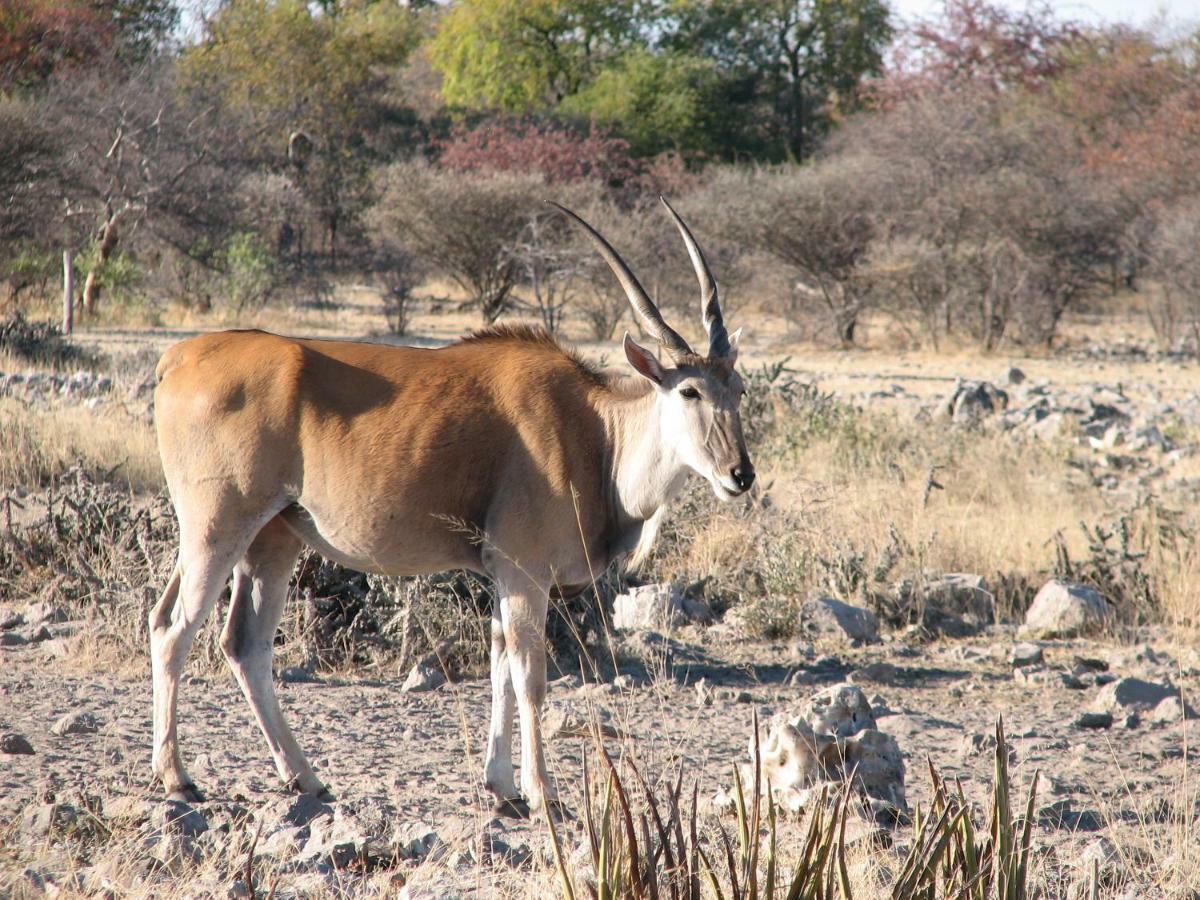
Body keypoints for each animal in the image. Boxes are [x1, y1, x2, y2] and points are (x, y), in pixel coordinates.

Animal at [147, 199, 748, 816]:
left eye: (739, 390)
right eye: (690, 391)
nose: (740, 475)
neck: (595, 430)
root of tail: (178, 357)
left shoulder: (504, 578)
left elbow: (501, 665)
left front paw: (501, 787)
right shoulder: (525, 574)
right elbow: (530, 676)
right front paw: (541, 792)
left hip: (273, 540)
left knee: (243, 642)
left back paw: (305, 778)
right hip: (216, 528)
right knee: (173, 627)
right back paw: (178, 778)